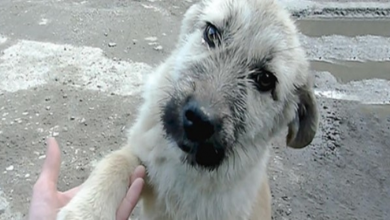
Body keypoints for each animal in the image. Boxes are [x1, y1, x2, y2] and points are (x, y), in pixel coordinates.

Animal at [58, 0, 320, 219]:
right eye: (211, 33)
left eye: (265, 80)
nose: (199, 119)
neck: (186, 168)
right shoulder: (143, 158)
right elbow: (115, 162)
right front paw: (88, 209)